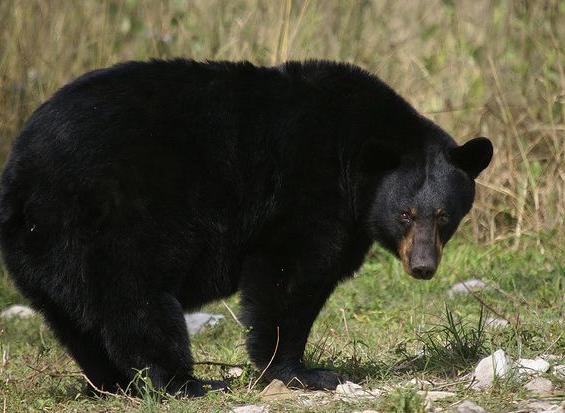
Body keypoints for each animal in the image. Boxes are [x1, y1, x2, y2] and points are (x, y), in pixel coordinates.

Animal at [0, 59, 492, 394]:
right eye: (405, 213)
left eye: (445, 215)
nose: (423, 266)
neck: (354, 159)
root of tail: (20, 176)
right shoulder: (306, 191)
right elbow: (288, 277)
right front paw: (302, 371)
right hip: (109, 224)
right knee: (136, 303)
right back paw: (187, 382)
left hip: (45, 248)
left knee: (75, 318)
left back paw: (114, 383)